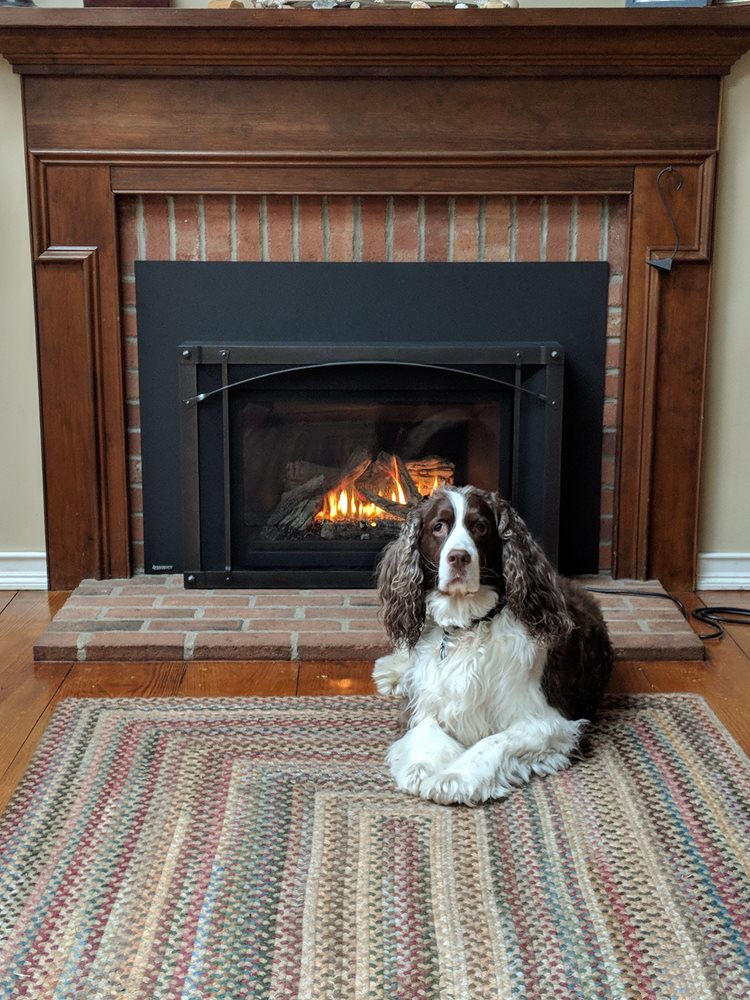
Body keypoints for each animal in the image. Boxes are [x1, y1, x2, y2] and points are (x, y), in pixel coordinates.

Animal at [374, 484, 612, 804]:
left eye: (480, 527)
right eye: (438, 527)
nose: (459, 557)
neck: (467, 628)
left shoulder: (548, 722)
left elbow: (495, 741)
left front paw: (453, 777)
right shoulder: (423, 701)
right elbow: (426, 727)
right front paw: (422, 767)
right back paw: (391, 672)